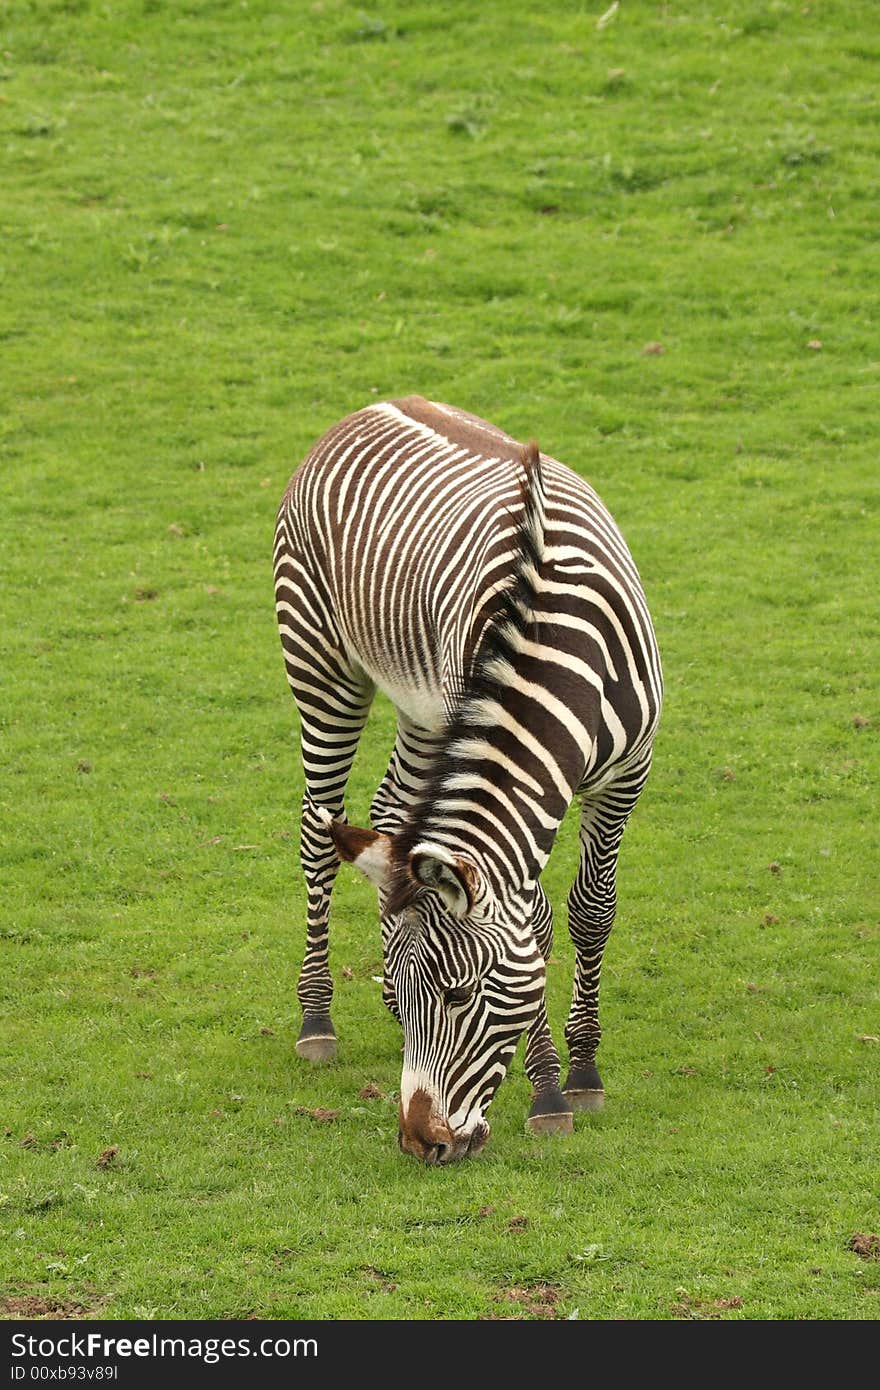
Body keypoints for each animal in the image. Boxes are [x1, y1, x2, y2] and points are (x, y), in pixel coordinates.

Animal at [272, 400, 658, 1162]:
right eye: (414, 996)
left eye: (456, 996)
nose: (420, 1143)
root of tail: (367, 408)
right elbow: (537, 923)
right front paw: (546, 1090)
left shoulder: (626, 776)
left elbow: (592, 911)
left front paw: (584, 1070)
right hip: (323, 666)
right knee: (316, 829)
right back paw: (316, 1018)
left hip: (420, 708)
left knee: (392, 813)